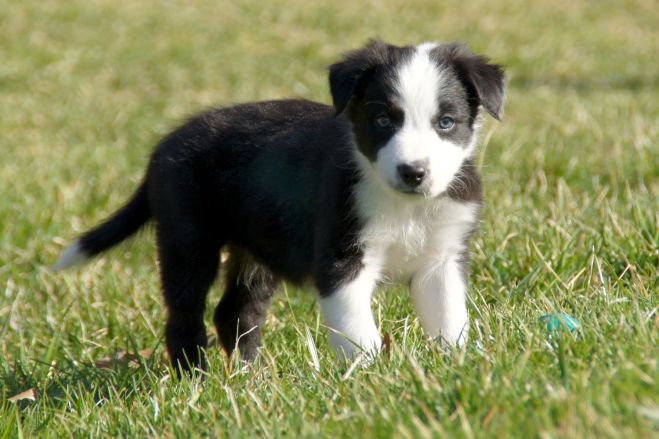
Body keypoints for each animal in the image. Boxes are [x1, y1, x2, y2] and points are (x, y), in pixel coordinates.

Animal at [54, 40, 505, 373]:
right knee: (185, 317)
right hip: (188, 239)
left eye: (446, 122)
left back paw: (251, 378)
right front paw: (368, 377)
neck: (405, 206)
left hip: (258, 249)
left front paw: (452, 365)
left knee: (236, 313)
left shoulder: (443, 256)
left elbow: (449, 318)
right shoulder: (341, 258)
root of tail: (161, 150)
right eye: (382, 120)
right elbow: (358, 330)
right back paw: (195, 380)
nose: (414, 172)